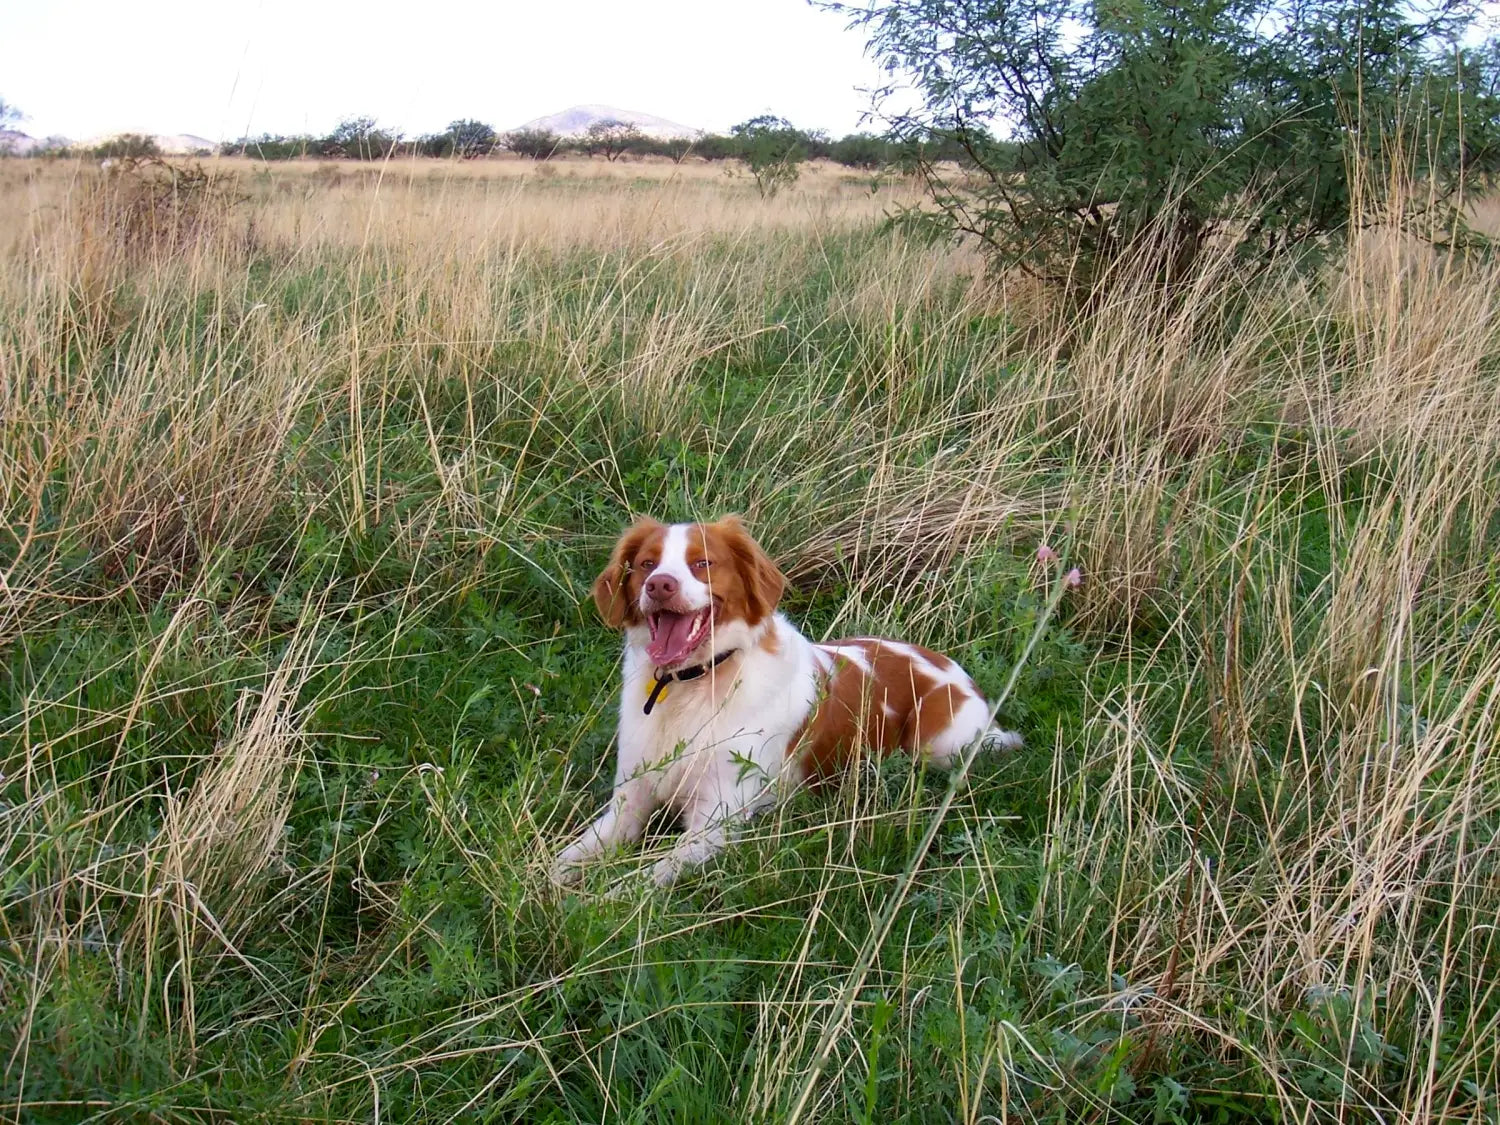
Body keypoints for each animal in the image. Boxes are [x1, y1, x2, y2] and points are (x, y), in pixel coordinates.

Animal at [552, 519, 1020, 888]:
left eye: (703, 563)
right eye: (647, 563)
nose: (659, 585)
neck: (693, 684)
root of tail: (958, 671)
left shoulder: (714, 824)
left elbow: (641, 881)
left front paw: (597, 902)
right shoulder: (627, 805)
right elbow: (562, 860)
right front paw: (544, 892)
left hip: (937, 742)